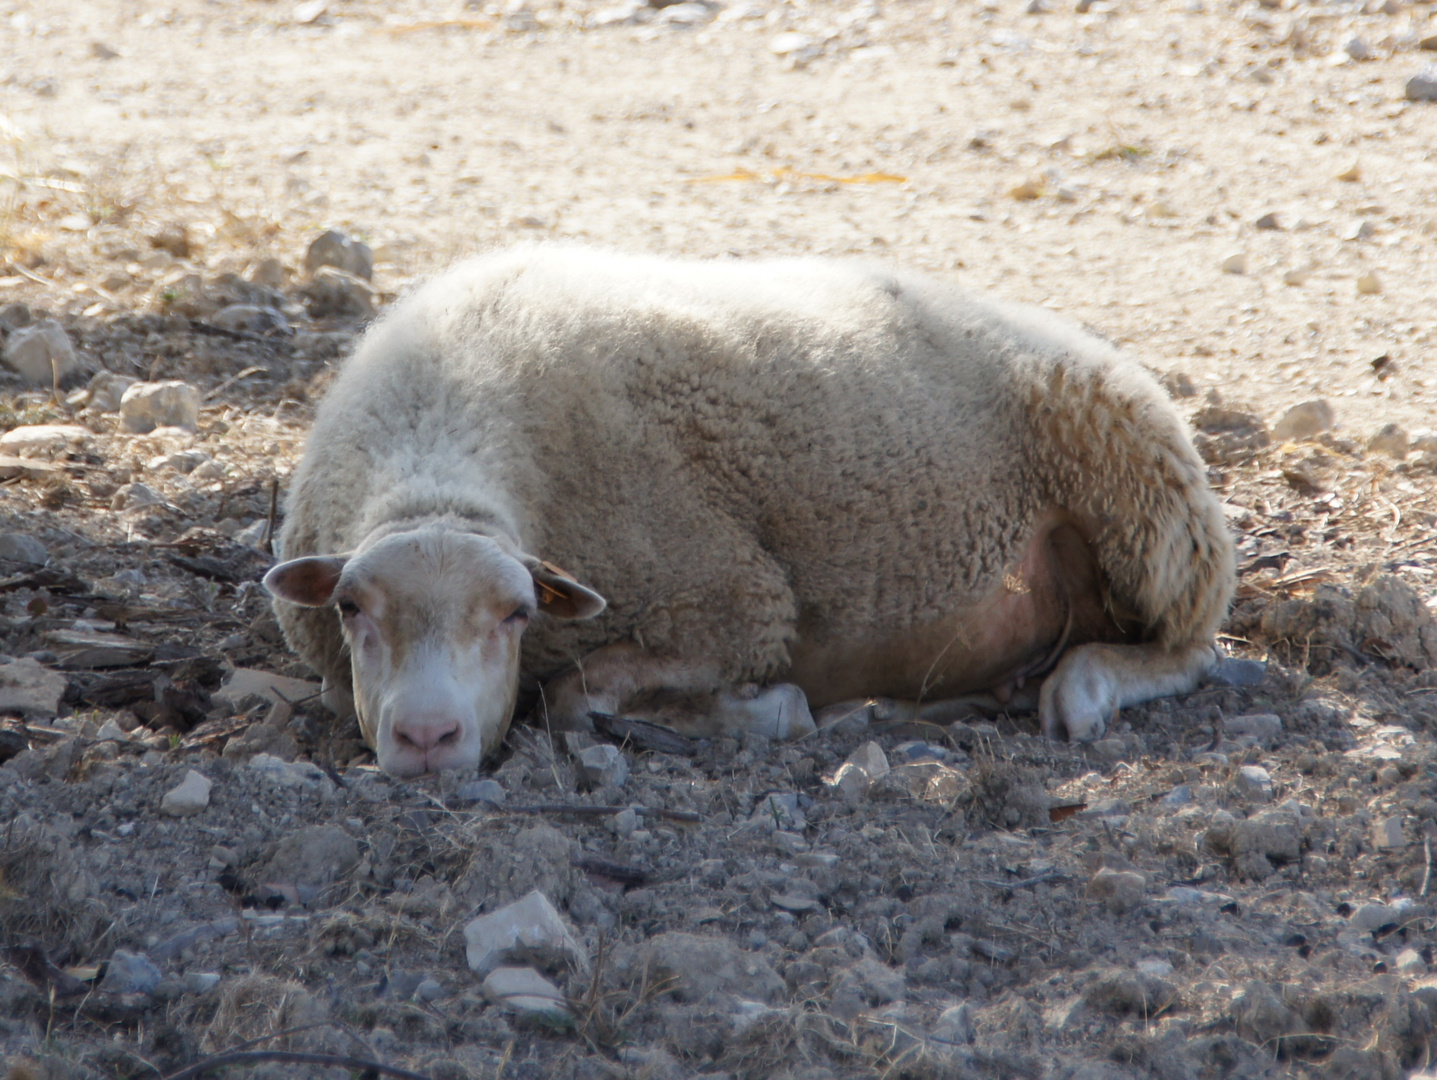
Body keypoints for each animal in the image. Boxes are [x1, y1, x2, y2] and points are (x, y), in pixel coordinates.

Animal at [267, 244, 1235, 775]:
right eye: (350, 609)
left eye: (513, 614)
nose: (427, 737)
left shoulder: (734, 602)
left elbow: (574, 697)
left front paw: (762, 713)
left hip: (1152, 508)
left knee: (1187, 650)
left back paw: (1084, 690)